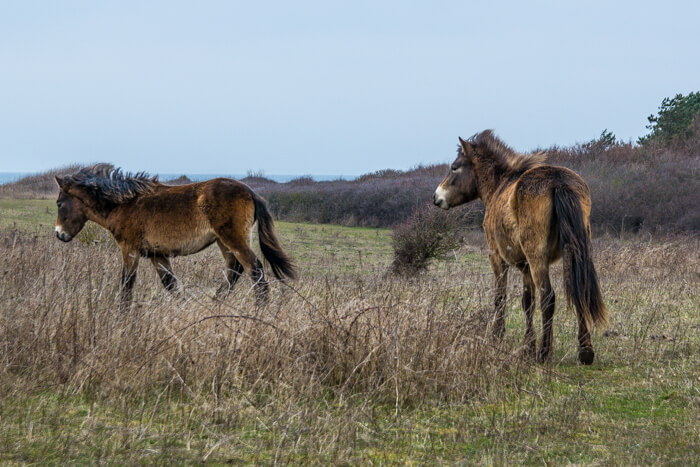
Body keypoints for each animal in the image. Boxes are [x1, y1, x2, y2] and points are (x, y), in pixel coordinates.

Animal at [54, 165, 294, 310]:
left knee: (255, 269)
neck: (124, 203)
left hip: (233, 239)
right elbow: (171, 284)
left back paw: (259, 311)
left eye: (59, 203)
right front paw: (185, 309)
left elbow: (127, 284)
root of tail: (250, 192)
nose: (59, 234)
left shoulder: (129, 249)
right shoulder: (156, 255)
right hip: (223, 242)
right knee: (234, 270)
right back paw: (215, 304)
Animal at [432, 132, 608, 366]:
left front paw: (498, 336)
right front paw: (527, 345)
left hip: (537, 258)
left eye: (454, 167)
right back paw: (585, 351)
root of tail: (558, 181)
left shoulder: (497, 258)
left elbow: (500, 297)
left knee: (548, 297)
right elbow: (527, 302)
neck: (499, 187)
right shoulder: (525, 267)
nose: (436, 197)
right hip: (573, 252)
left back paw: (544, 352)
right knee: (580, 291)